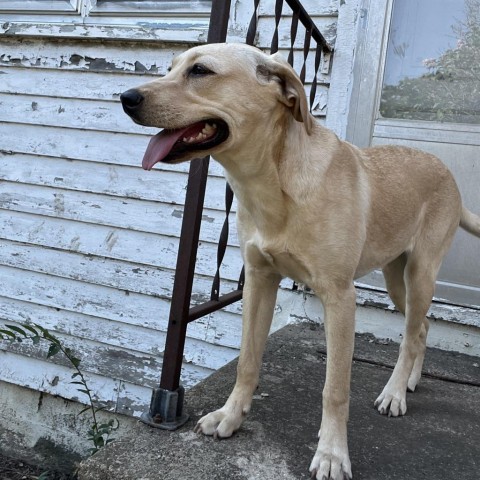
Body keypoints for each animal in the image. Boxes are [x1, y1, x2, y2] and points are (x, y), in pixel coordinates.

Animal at [122, 43, 480, 478]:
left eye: (201, 71)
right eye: (171, 67)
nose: (125, 98)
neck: (273, 181)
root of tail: (445, 170)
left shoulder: (340, 298)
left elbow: (335, 389)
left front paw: (332, 453)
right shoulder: (259, 281)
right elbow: (247, 361)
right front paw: (231, 415)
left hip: (421, 273)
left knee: (411, 333)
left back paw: (394, 392)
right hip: (398, 281)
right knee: (421, 328)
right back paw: (408, 381)